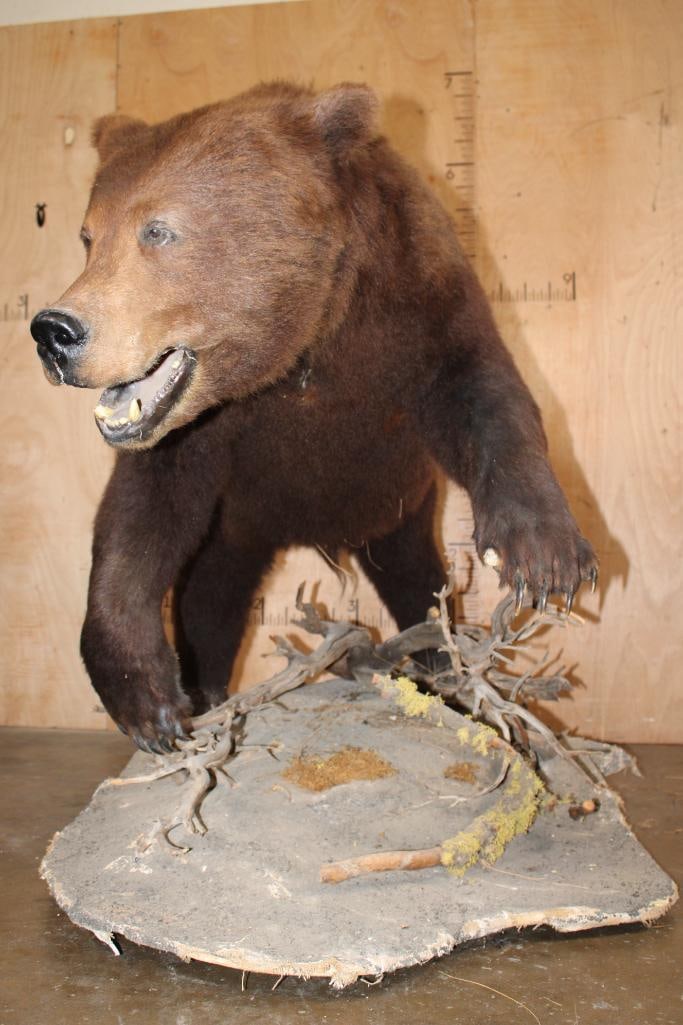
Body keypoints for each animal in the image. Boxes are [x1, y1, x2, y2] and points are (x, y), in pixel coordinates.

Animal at [30, 81, 597, 753]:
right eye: (89, 236)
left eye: (159, 230)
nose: (55, 331)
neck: (302, 344)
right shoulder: (200, 435)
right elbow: (139, 515)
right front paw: (150, 704)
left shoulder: (417, 308)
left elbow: (486, 397)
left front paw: (544, 558)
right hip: (236, 528)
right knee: (211, 600)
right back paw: (209, 696)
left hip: (395, 514)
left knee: (419, 587)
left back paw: (440, 671)